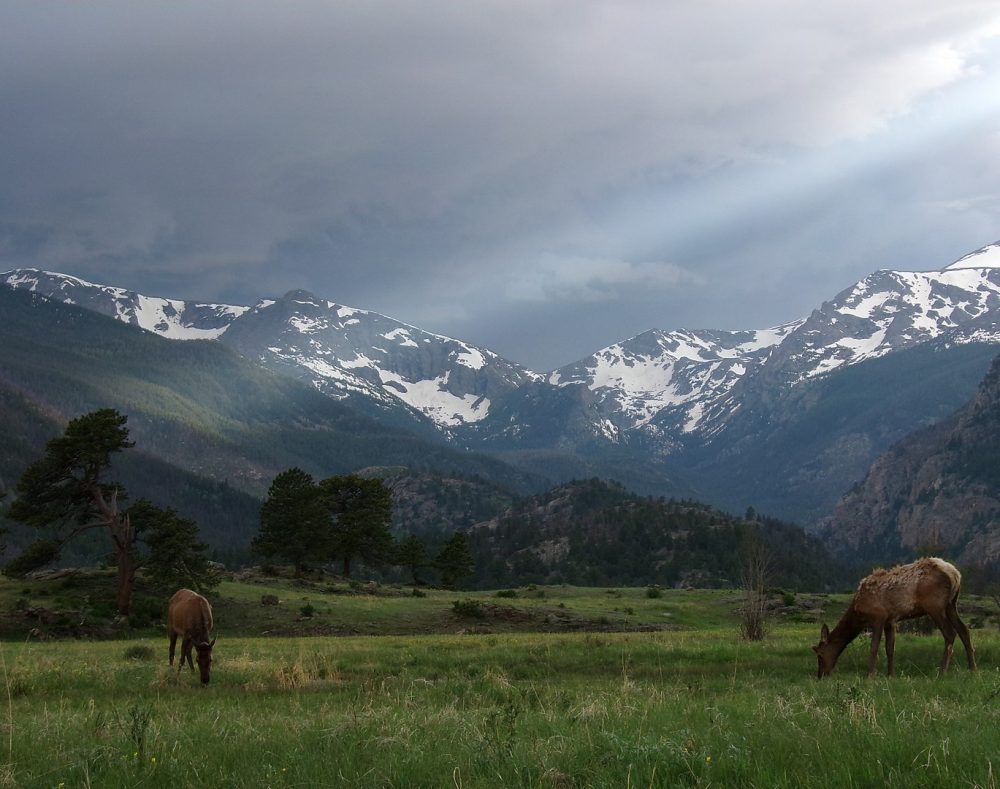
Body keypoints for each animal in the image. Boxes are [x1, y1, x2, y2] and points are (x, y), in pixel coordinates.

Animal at [812, 556, 976, 676]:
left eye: (819, 655)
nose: (820, 675)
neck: (858, 614)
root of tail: (955, 574)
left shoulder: (878, 617)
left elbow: (874, 647)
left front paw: (870, 675)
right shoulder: (891, 621)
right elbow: (890, 648)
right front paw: (890, 675)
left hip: (935, 606)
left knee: (950, 633)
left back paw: (942, 671)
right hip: (951, 604)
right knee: (964, 630)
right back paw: (972, 668)